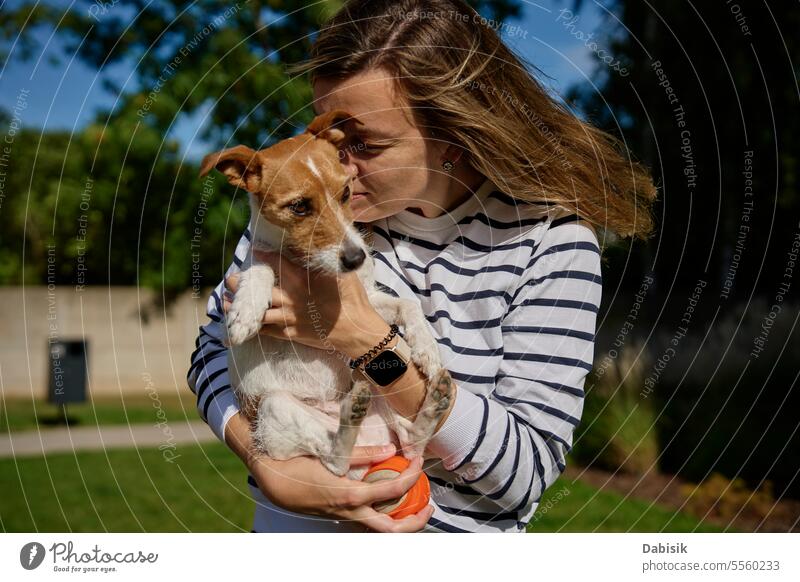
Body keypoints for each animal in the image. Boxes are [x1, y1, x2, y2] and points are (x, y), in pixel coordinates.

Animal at [197, 112, 454, 482]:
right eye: (299, 206)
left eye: (346, 192)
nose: (357, 258)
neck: (312, 270)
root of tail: (367, 461)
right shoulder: (256, 263)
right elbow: (260, 269)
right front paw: (247, 310)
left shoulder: (366, 300)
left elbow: (408, 303)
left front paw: (427, 348)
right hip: (276, 408)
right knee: (335, 460)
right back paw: (353, 419)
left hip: (376, 390)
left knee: (410, 445)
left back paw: (433, 403)